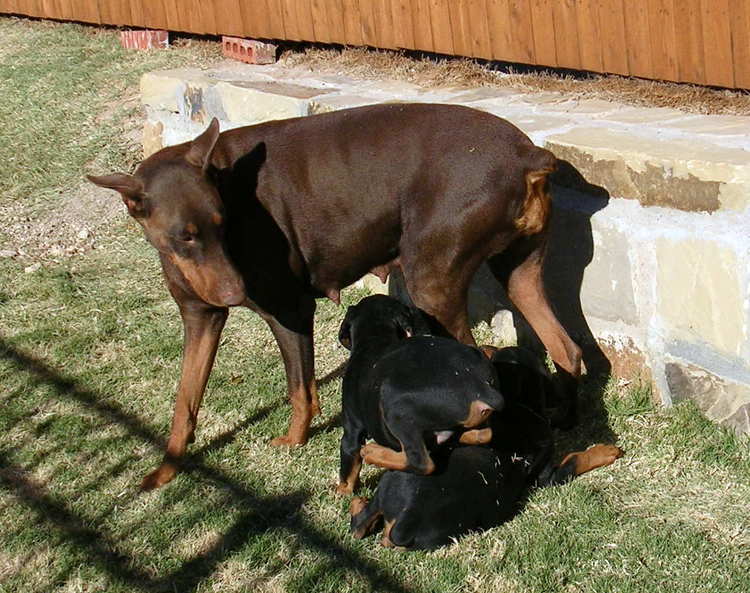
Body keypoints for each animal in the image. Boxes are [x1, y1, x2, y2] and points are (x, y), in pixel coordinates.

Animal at [340, 296, 506, 494]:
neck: (375, 336)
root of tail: (481, 389)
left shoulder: (351, 428)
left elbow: (348, 468)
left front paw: (341, 493)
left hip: (396, 410)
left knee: (422, 463)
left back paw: (373, 452)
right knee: (483, 434)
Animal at [350, 344, 624, 548]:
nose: (486, 346)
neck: (520, 403)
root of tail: (405, 521)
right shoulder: (546, 475)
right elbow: (574, 461)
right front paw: (607, 451)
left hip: (391, 483)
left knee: (360, 526)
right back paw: (370, 458)